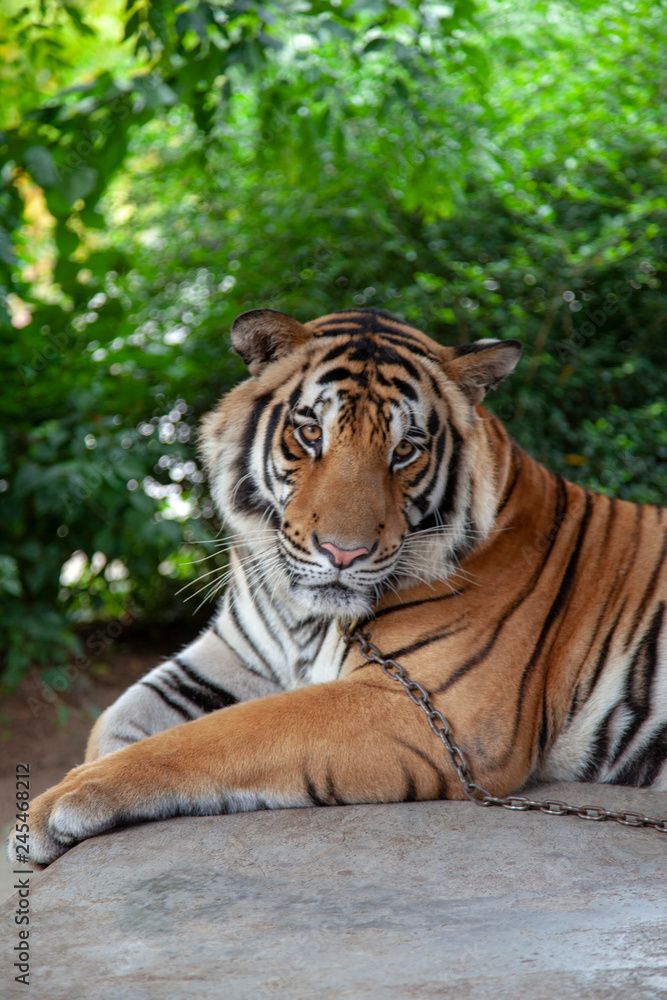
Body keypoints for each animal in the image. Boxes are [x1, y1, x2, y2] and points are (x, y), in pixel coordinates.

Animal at [10, 306, 667, 866]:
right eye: (310, 434)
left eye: (405, 450)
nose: (342, 554)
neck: (299, 615)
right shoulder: (229, 658)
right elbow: (116, 720)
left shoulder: (433, 710)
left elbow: (220, 735)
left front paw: (57, 804)